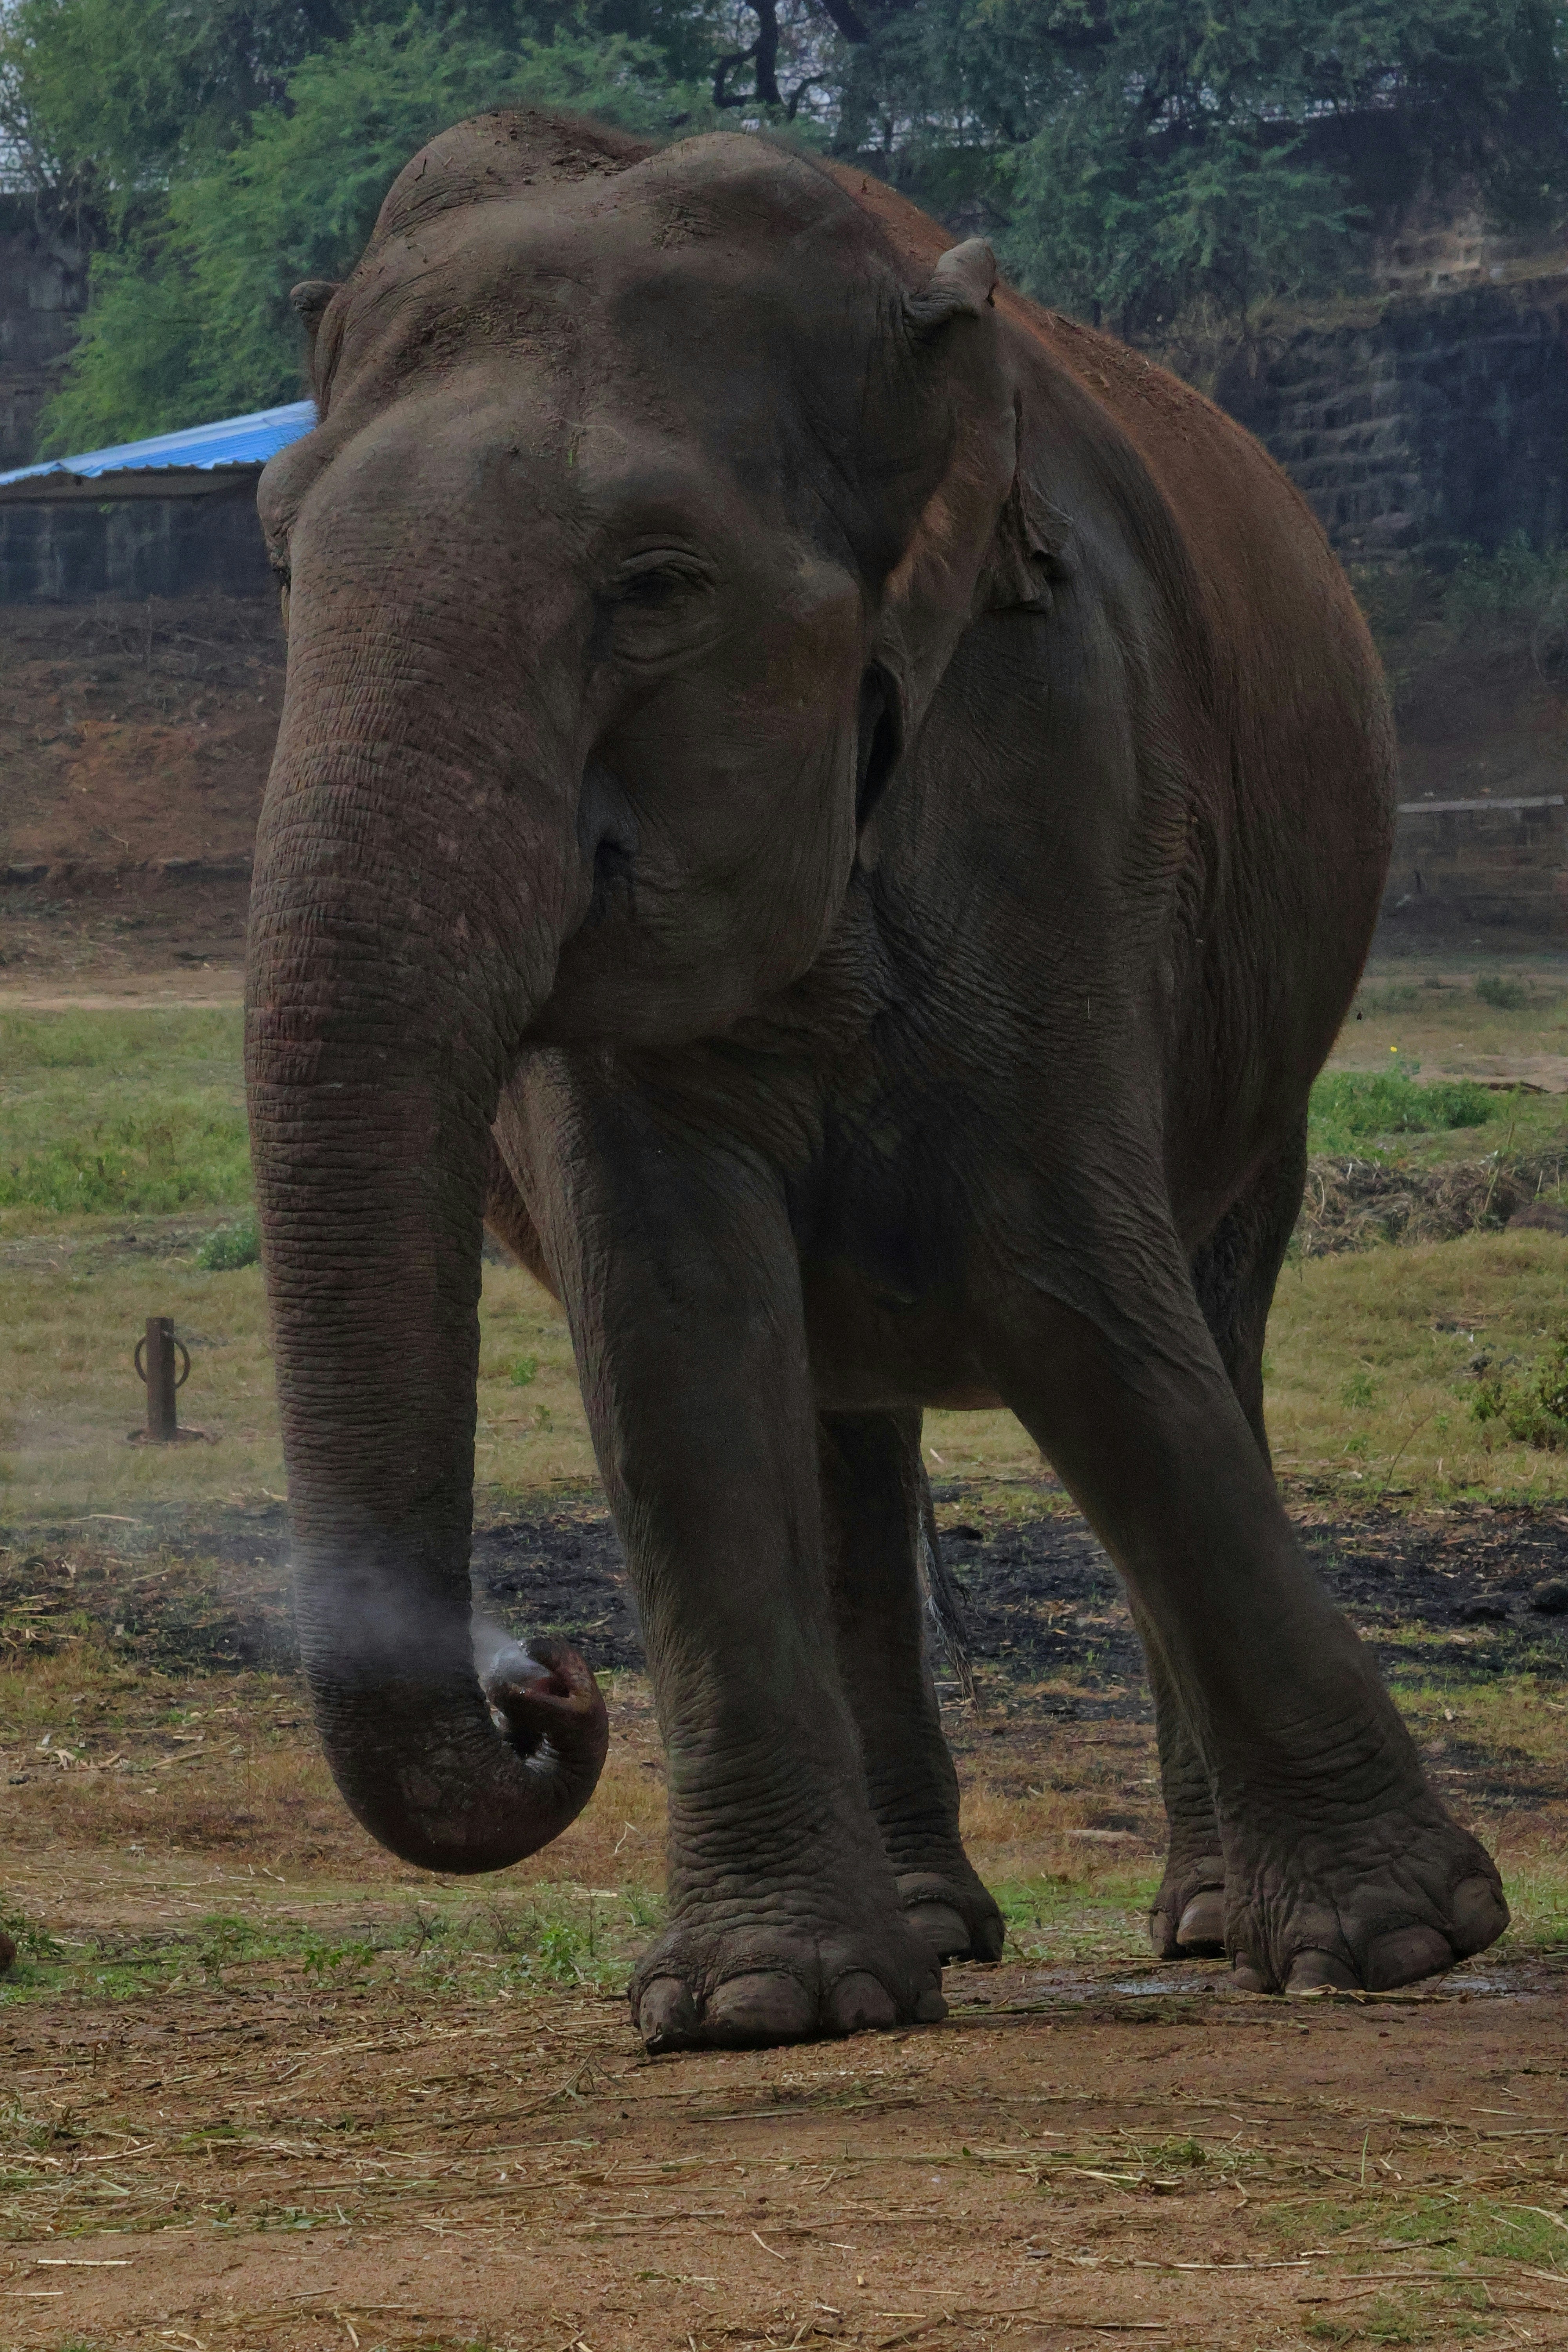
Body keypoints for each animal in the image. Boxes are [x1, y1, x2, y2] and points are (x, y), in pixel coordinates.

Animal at [248, 106, 1508, 2052]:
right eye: (282, 566)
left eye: (658, 585)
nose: (544, 1687)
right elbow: (675, 1314)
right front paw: (757, 2006)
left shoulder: (1056, 747)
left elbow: (1056, 1272)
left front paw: (1397, 1945)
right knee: (837, 1410)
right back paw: (921, 1934)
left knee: (1203, 1316)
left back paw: (1209, 1920)